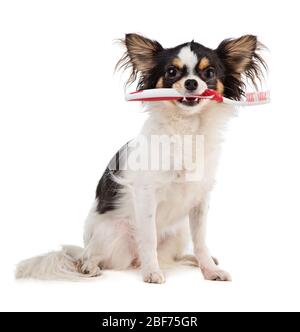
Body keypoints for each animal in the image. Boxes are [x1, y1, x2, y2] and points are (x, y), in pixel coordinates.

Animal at [16, 33, 266, 282]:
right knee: (93, 256)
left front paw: (209, 269)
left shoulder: (200, 201)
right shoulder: (146, 195)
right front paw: (152, 272)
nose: (191, 83)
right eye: (171, 72)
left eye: (210, 73)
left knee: (175, 255)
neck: (187, 127)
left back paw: (192, 260)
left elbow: (201, 241)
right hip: (111, 234)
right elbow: (148, 238)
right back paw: (90, 267)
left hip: (179, 232)